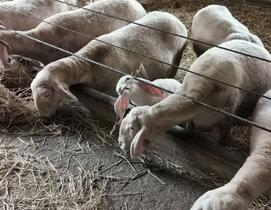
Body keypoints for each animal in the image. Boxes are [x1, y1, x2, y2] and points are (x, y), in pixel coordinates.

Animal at [118, 41, 271, 210]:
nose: (120, 144)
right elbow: (189, 130)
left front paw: (222, 145)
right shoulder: (192, 119)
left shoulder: (228, 116)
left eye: (132, 128)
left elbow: (222, 139)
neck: (196, 93)